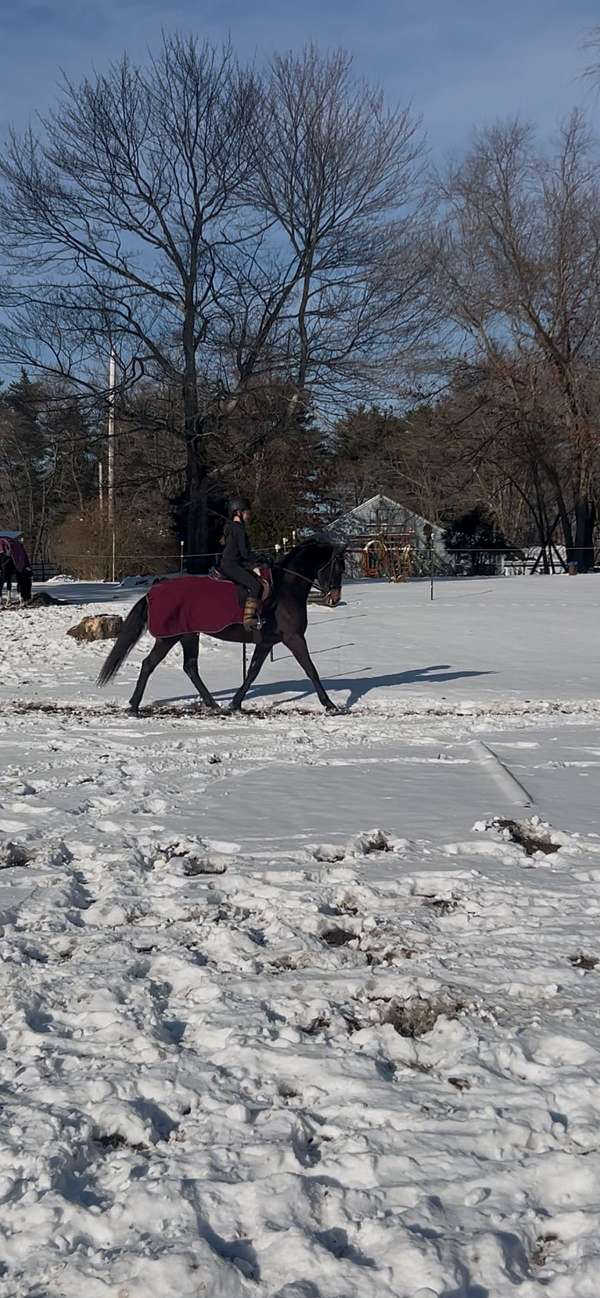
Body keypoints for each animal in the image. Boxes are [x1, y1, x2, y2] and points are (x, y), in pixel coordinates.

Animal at [96, 539, 345, 716]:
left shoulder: (266, 642)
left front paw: (235, 703)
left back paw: (212, 704)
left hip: (188, 635)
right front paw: (330, 705)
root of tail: (153, 592)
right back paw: (134, 707)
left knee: (190, 667)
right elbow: (310, 669)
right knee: (150, 664)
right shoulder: (294, 637)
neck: (285, 589)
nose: (334, 598)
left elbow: (253, 671)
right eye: (338, 567)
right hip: (169, 637)